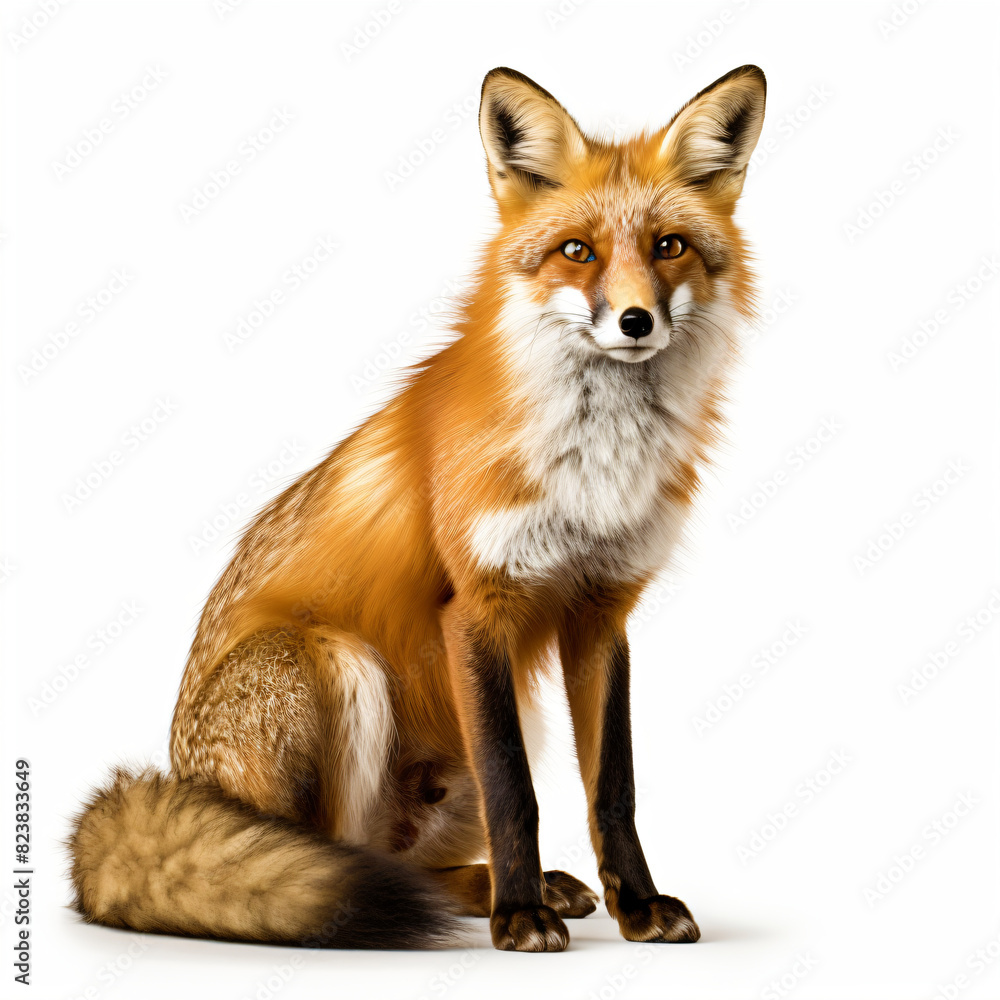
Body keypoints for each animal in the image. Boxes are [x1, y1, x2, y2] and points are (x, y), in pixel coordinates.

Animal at [67, 64, 766, 953]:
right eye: (578, 252)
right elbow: (516, 792)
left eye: (669, 246)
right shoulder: (476, 607)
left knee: (406, 868)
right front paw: (520, 917)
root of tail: (182, 778)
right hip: (335, 662)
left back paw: (496, 887)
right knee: (330, 862)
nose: (636, 321)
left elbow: (614, 790)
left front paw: (636, 905)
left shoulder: (601, 613)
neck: (593, 469)